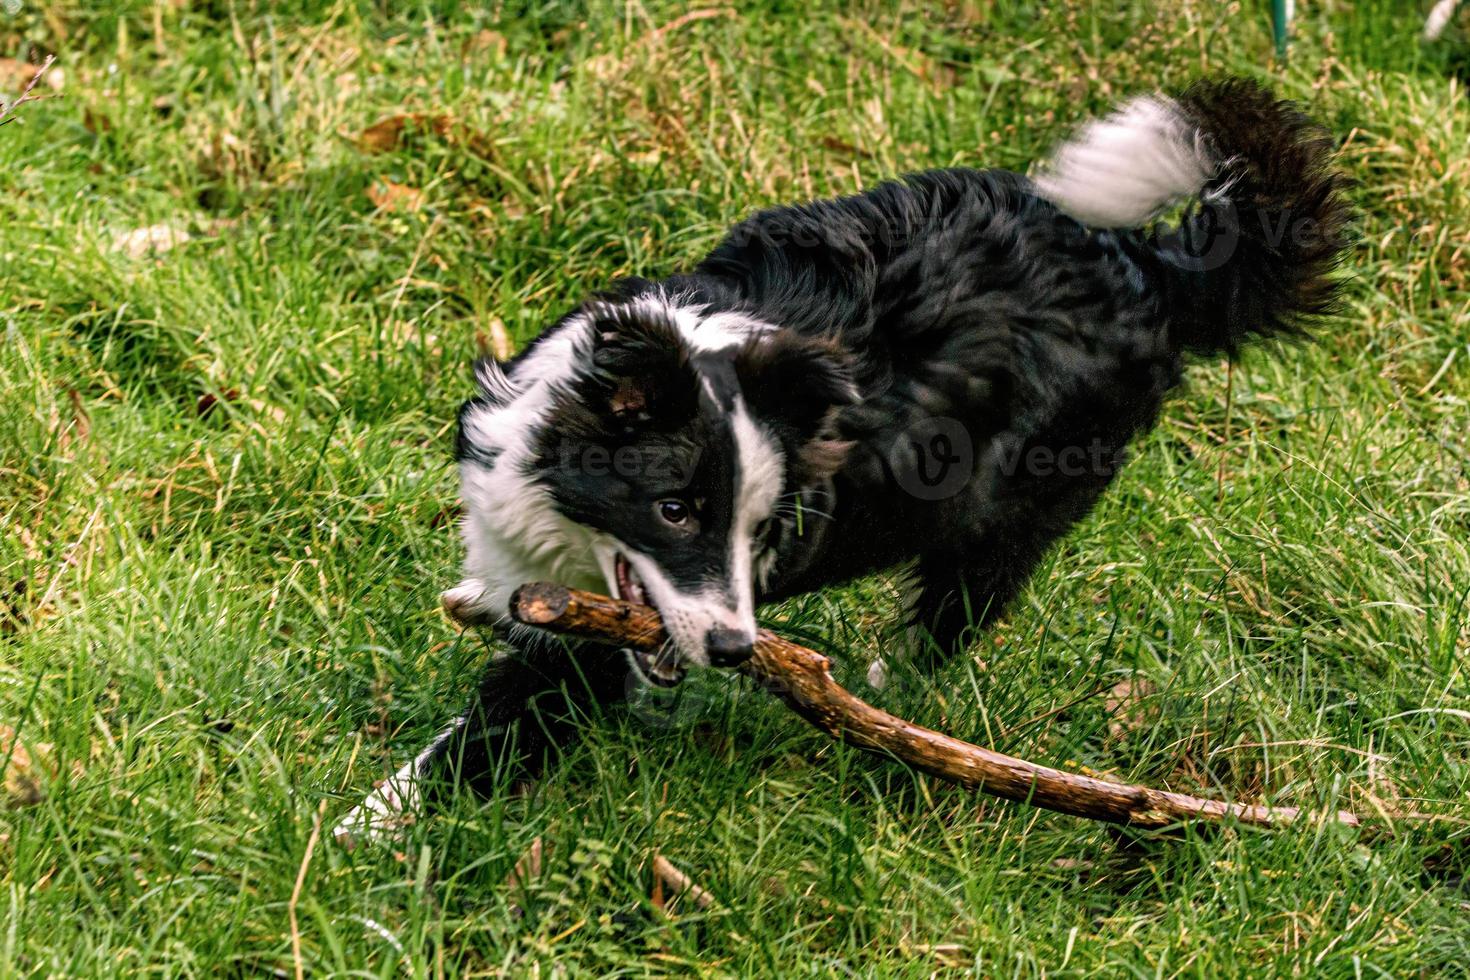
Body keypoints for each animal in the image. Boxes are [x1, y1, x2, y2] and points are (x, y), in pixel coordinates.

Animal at [338, 78, 1346, 846]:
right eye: (675, 511)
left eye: (758, 527)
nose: (737, 650)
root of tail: (1147, 262)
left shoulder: (586, 651)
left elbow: (486, 734)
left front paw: (365, 837)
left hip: (1004, 519)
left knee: (945, 623)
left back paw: (892, 711)